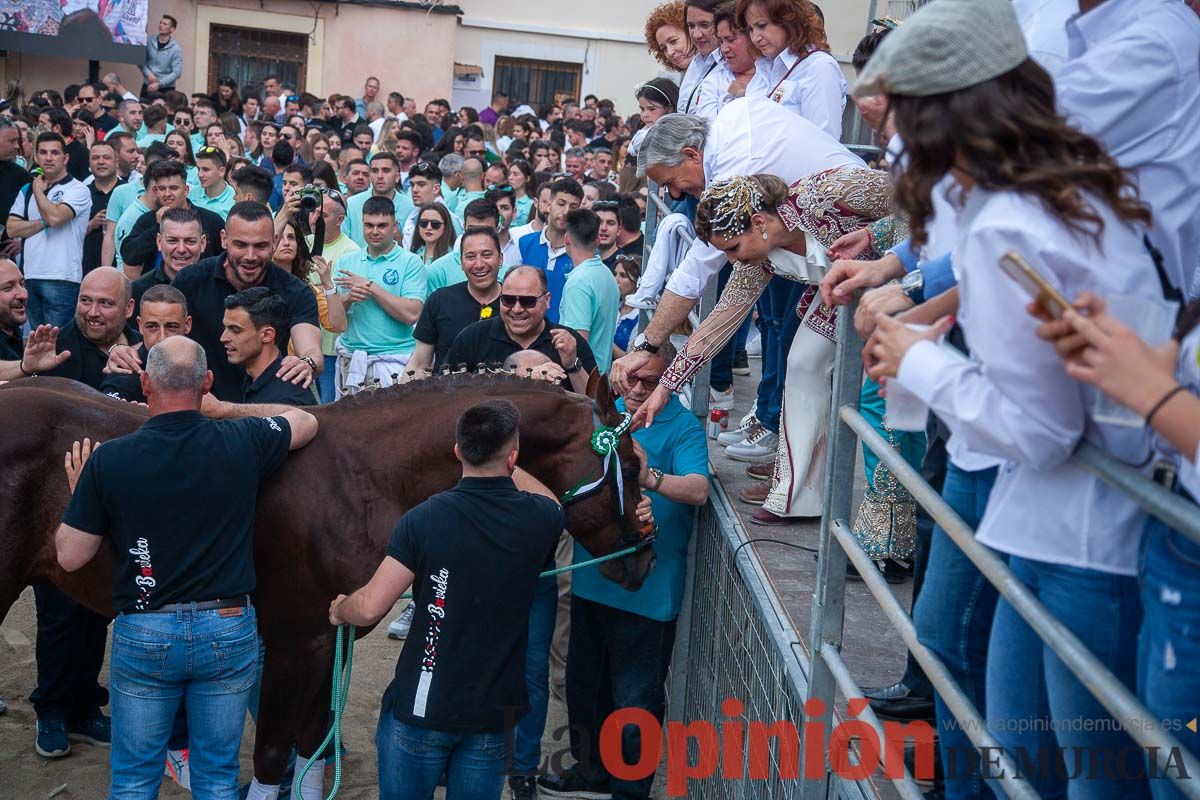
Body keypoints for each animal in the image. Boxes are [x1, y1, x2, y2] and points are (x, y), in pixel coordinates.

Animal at [0, 376, 657, 786]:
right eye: (630, 464)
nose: (645, 557)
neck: (361, 475)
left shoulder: (328, 640)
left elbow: (312, 745)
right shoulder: (294, 642)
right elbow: (272, 757)